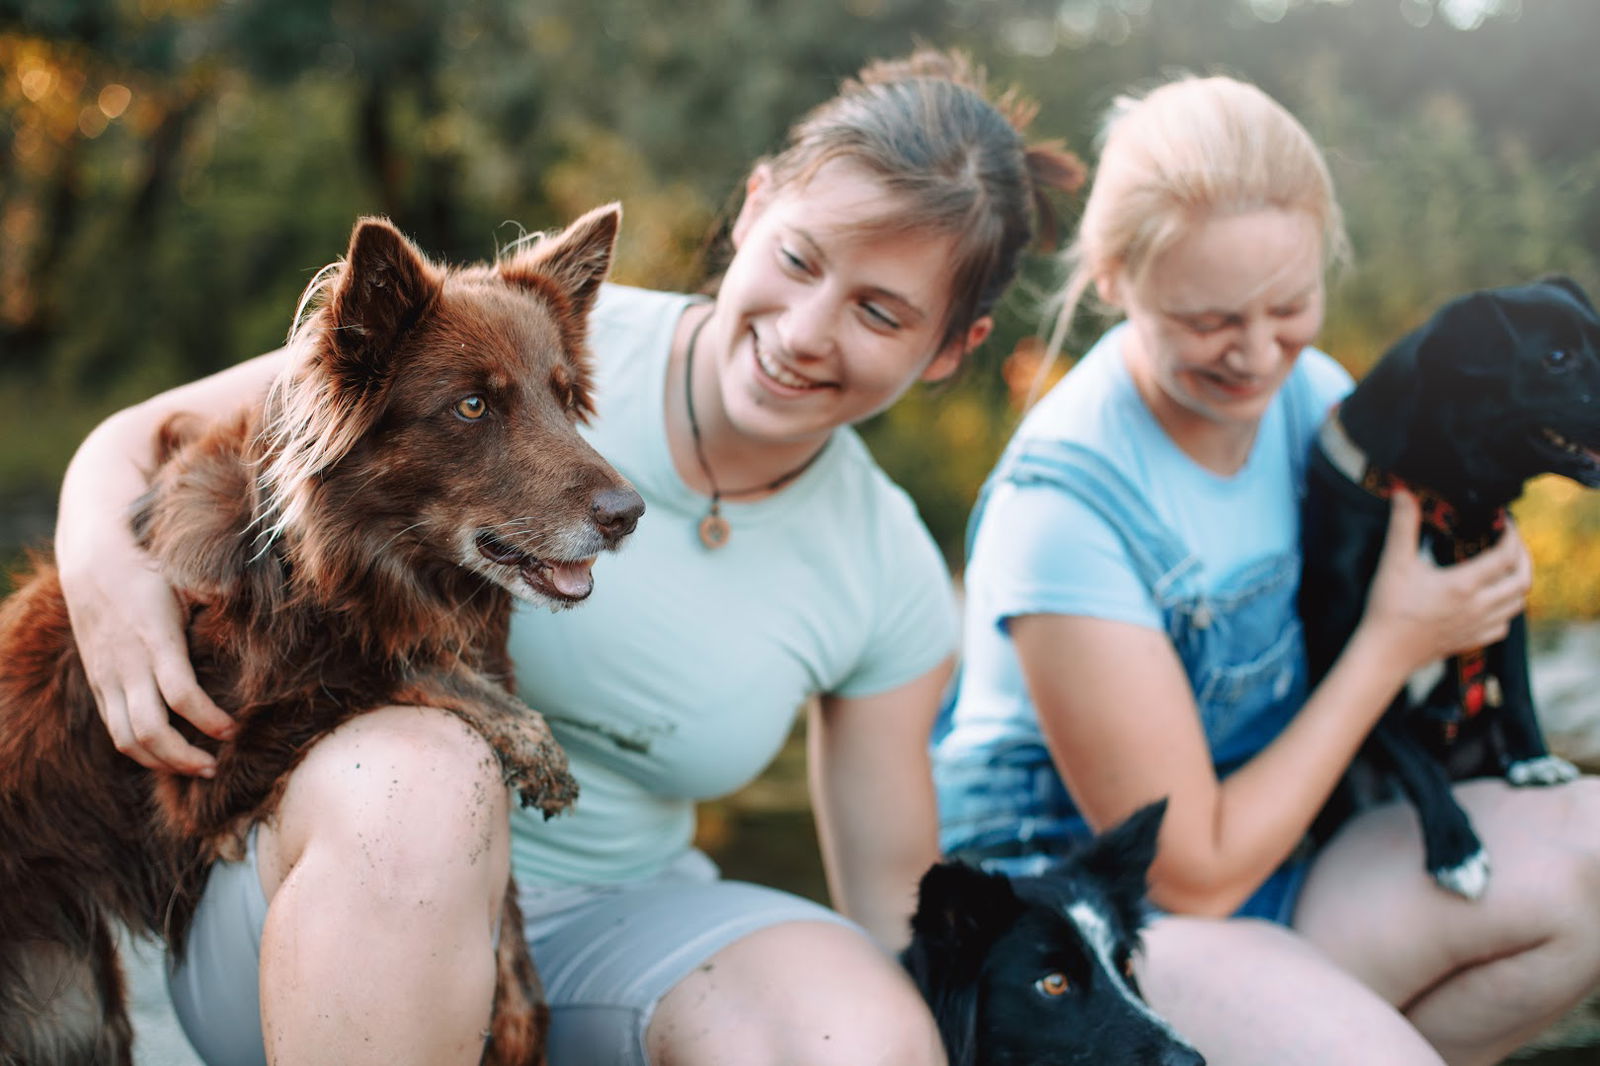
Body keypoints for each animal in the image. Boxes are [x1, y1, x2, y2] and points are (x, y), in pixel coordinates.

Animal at [0, 203, 640, 1056]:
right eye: (473, 406)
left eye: (566, 399)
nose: (629, 514)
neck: (345, 565)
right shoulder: (199, 781)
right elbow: (371, 663)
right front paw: (523, 732)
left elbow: (516, 967)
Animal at [1299, 273, 1600, 896]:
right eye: (1557, 359)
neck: (1446, 503)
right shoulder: (1346, 647)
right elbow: (1413, 756)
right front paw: (1454, 844)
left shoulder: (1507, 603)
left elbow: (1520, 692)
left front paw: (1533, 760)